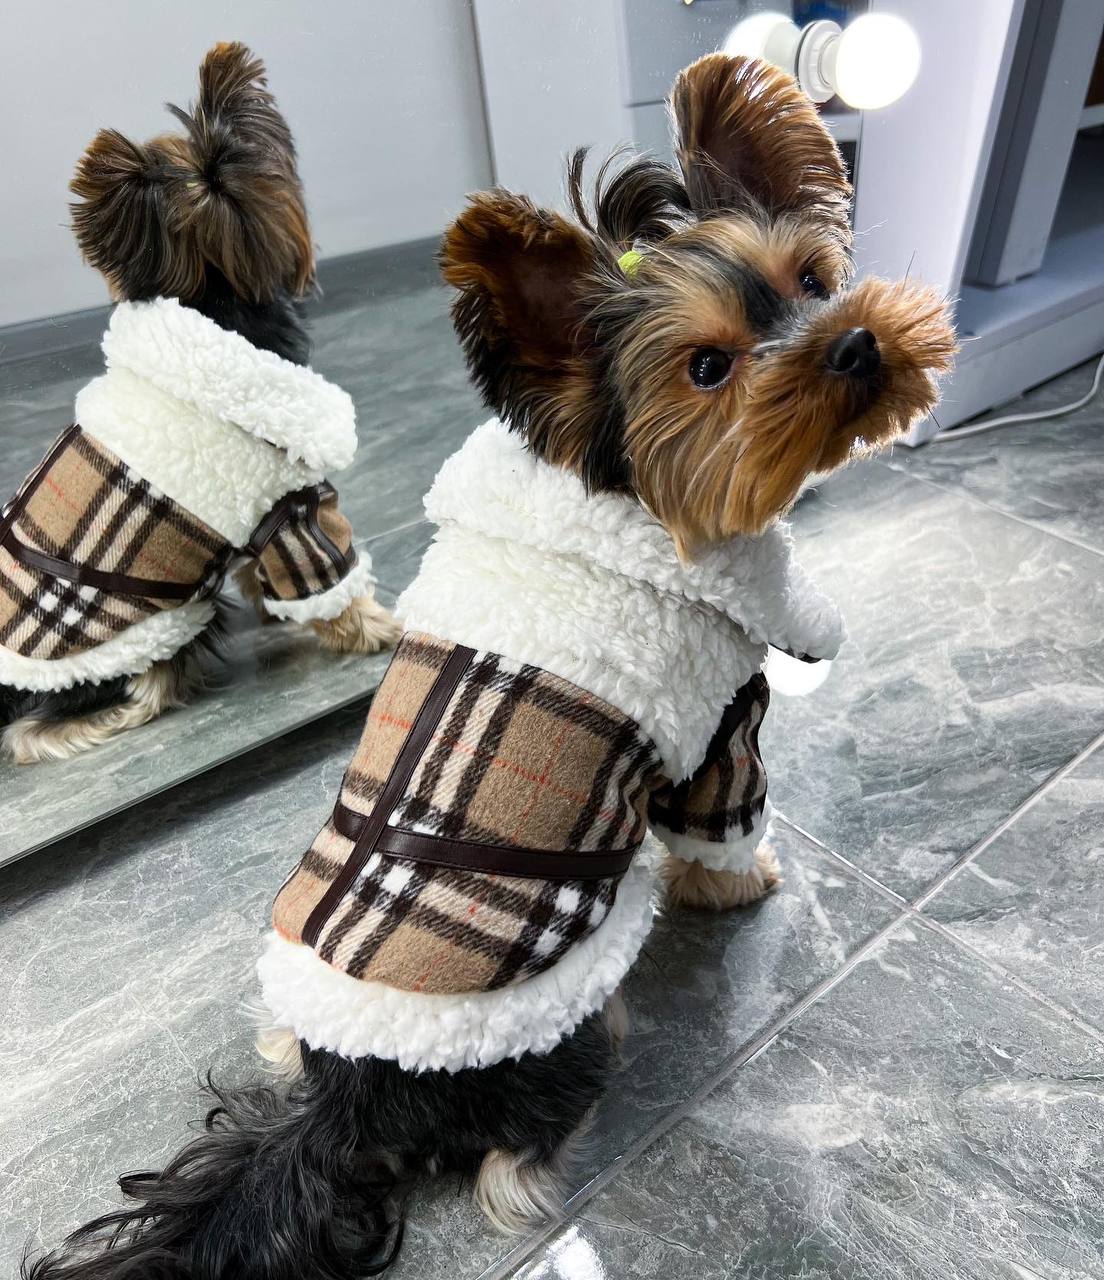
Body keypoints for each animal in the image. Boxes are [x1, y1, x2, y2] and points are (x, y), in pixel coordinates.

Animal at [0, 42, 397, 757]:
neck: (216, 308)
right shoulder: (293, 507)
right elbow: (333, 585)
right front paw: (384, 629)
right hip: (138, 640)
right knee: (45, 726)